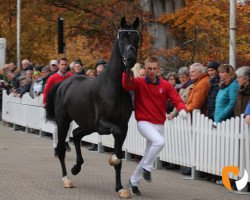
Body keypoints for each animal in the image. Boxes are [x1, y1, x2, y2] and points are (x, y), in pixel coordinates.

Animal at [45, 17, 139, 198]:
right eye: (122, 37)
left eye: (136, 38)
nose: (131, 59)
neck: (114, 87)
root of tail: (63, 83)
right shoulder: (103, 125)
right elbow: (116, 141)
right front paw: (112, 160)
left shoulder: (123, 126)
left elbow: (119, 153)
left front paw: (120, 188)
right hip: (64, 122)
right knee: (61, 147)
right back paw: (67, 178)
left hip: (88, 125)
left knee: (76, 134)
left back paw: (76, 167)